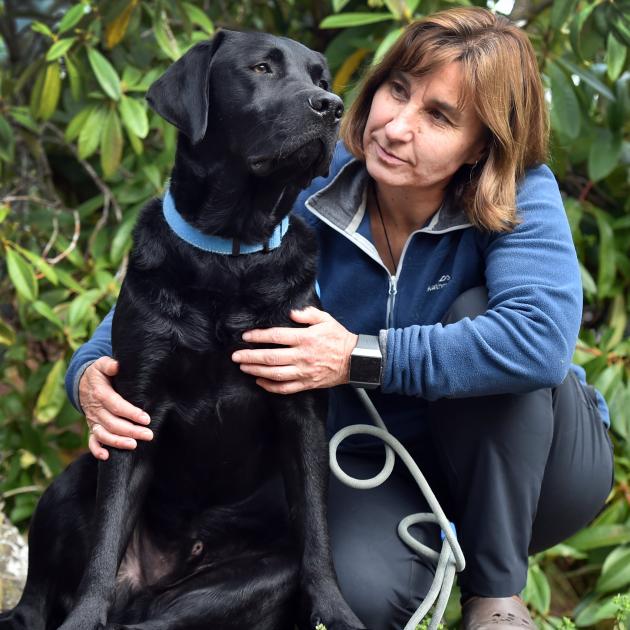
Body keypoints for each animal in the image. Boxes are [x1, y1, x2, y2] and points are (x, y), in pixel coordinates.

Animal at [1, 32, 366, 630]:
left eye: (322, 79)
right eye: (261, 68)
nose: (331, 107)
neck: (230, 257)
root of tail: (150, 584)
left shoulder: (301, 406)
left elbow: (318, 533)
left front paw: (337, 614)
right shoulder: (135, 408)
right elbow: (105, 540)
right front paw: (85, 616)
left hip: (249, 579)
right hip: (72, 479)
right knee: (38, 601)